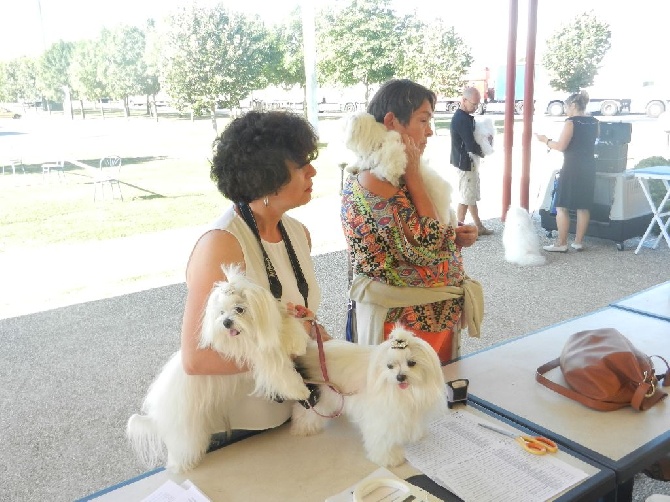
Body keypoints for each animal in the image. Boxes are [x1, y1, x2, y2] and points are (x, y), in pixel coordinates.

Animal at [127, 264, 312, 472]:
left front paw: (297, 341)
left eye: (239, 309)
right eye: (221, 312)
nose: (226, 322)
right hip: (186, 428)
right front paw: (300, 390)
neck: (253, 333)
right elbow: (277, 369)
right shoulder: (254, 355)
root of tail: (157, 413)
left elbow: (288, 325)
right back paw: (182, 466)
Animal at [292, 326, 448, 466]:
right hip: (320, 395)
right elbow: (382, 439)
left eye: (412, 363)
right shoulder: (380, 417)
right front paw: (389, 458)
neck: (402, 392)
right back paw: (303, 429)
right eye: (389, 366)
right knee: (305, 412)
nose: (400, 377)